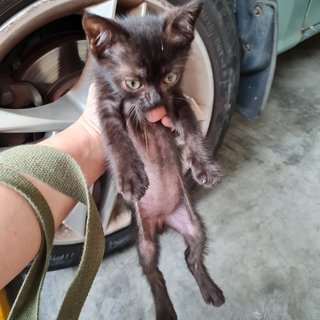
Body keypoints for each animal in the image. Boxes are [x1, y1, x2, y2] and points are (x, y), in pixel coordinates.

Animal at [82, 1, 225, 318]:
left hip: (194, 224)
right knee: (154, 273)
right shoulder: (105, 102)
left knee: (191, 257)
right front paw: (130, 177)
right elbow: (116, 138)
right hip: (144, 240)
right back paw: (164, 308)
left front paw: (203, 166)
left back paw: (209, 289)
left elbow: (192, 131)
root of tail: (162, 221)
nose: (155, 100)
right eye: (133, 82)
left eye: (170, 77)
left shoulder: (178, 101)